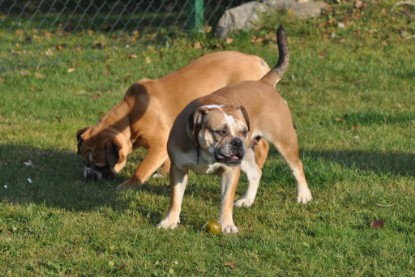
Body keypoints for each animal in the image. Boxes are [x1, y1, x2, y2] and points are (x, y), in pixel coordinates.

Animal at [76, 49, 272, 189]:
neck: (130, 118)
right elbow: (169, 160)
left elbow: (143, 168)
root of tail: (257, 60)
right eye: (85, 161)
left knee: (263, 145)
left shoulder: (158, 145)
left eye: (100, 165)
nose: (88, 174)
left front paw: (129, 184)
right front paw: (163, 174)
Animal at [159, 26, 312, 233]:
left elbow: (225, 201)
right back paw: (247, 200)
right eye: (221, 131)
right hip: (247, 154)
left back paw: (303, 195)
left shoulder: (230, 172)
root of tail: (264, 83)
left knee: (297, 167)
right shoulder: (178, 169)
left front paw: (226, 225)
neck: (205, 153)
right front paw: (170, 221)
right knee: (256, 173)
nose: (238, 141)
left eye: (243, 131)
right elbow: (175, 198)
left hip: (284, 140)